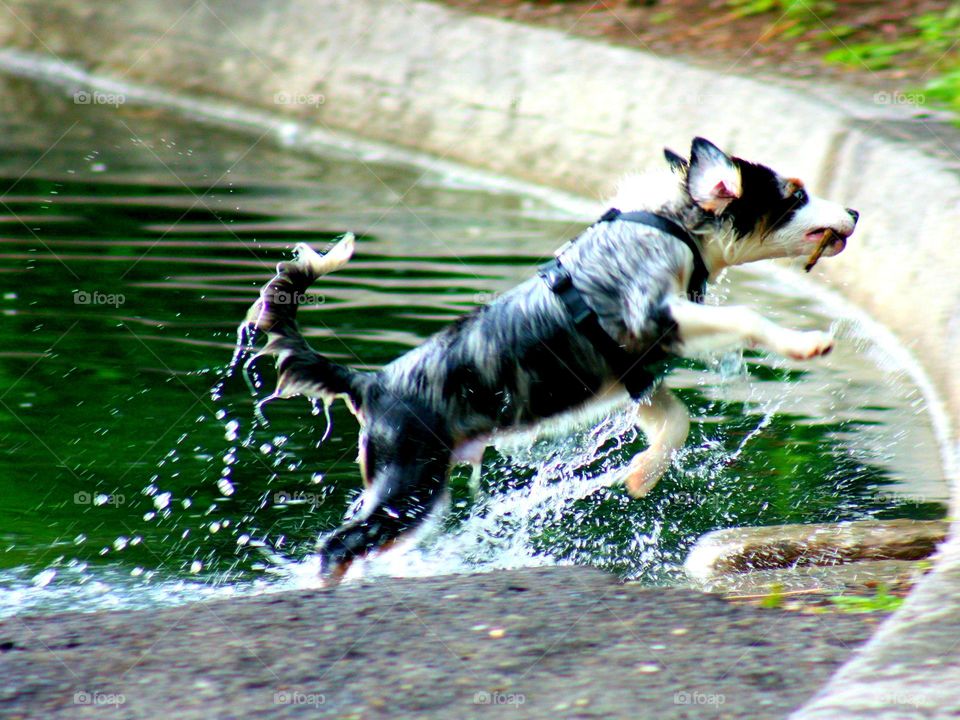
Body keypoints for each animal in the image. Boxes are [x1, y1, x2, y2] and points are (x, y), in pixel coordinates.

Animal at [244, 138, 860, 584]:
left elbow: (675, 421)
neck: (671, 225)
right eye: (795, 195)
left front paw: (641, 475)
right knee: (338, 544)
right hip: (409, 484)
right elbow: (749, 319)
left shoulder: (636, 374)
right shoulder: (652, 316)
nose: (854, 210)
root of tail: (369, 382)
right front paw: (807, 343)